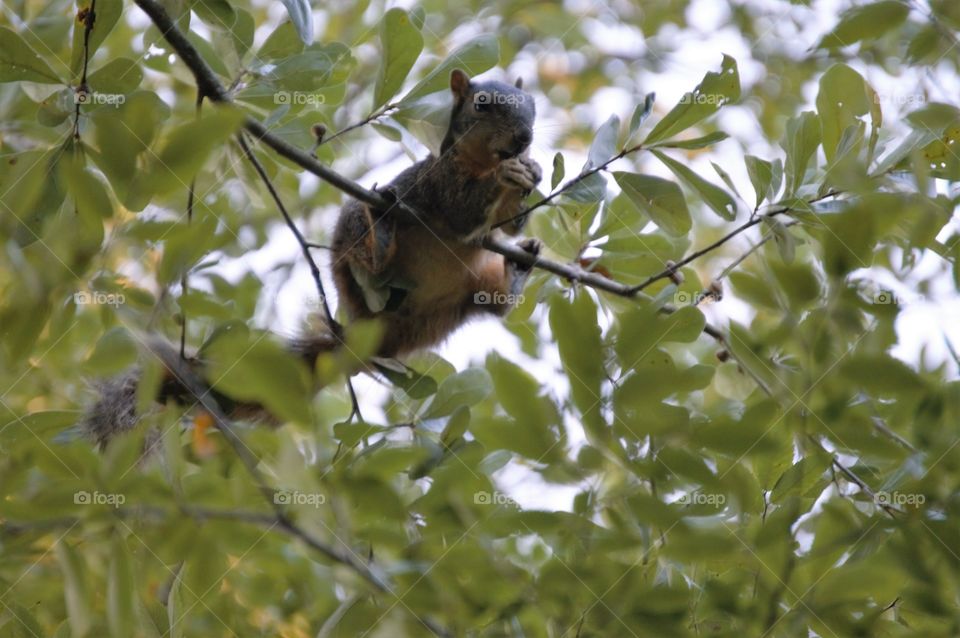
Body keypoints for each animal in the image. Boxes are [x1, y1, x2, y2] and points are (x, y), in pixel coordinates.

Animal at [79, 69, 543, 447]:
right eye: (482, 104)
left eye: (534, 106)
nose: (524, 139)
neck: (477, 159)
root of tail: (364, 332)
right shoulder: (438, 184)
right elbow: (463, 210)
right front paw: (510, 175)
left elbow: (507, 228)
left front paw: (531, 174)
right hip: (353, 240)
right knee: (371, 246)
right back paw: (382, 236)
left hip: (466, 293)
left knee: (495, 306)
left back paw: (517, 271)